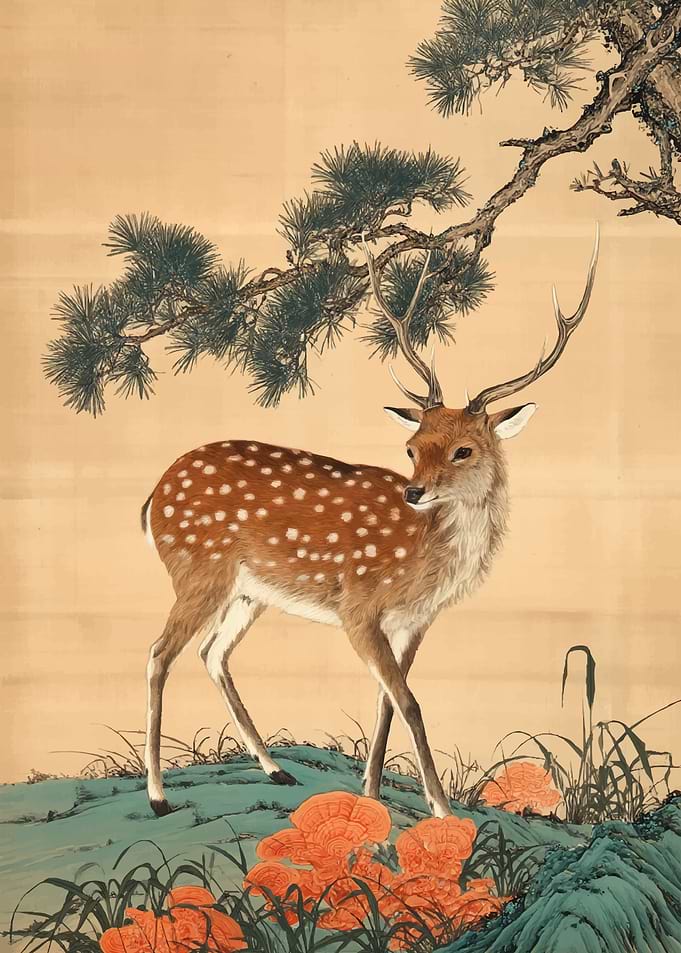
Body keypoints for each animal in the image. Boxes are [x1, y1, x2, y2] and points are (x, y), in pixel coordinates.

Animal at [140, 227, 599, 819]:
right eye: (411, 448)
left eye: (464, 449)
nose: (413, 491)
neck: (424, 561)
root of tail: (154, 496)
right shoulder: (358, 608)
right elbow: (410, 700)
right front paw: (442, 809)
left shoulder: (414, 622)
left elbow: (387, 698)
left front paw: (371, 791)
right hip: (197, 571)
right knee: (160, 654)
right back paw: (158, 796)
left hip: (248, 592)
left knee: (211, 653)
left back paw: (276, 769)